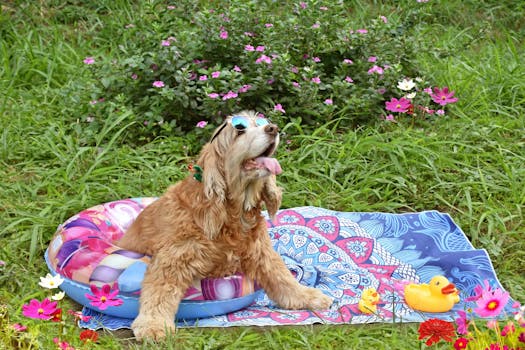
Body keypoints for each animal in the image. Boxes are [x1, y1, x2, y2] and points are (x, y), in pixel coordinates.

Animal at [118, 111, 332, 340]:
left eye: (263, 122)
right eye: (240, 130)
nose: (273, 128)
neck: (233, 214)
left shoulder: (261, 252)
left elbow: (282, 277)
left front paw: (308, 296)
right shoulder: (173, 257)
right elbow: (159, 291)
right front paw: (153, 325)